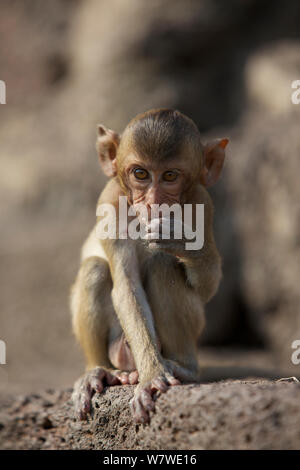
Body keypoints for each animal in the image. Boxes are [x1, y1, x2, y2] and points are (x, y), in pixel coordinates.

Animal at [70, 108, 229, 424]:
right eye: (140, 174)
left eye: (170, 176)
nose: (154, 203)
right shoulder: (110, 202)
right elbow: (126, 287)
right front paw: (152, 376)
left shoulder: (202, 201)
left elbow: (207, 288)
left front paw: (181, 240)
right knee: (95, 269)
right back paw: (100, 371)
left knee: (162, 265)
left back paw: (184, 368)